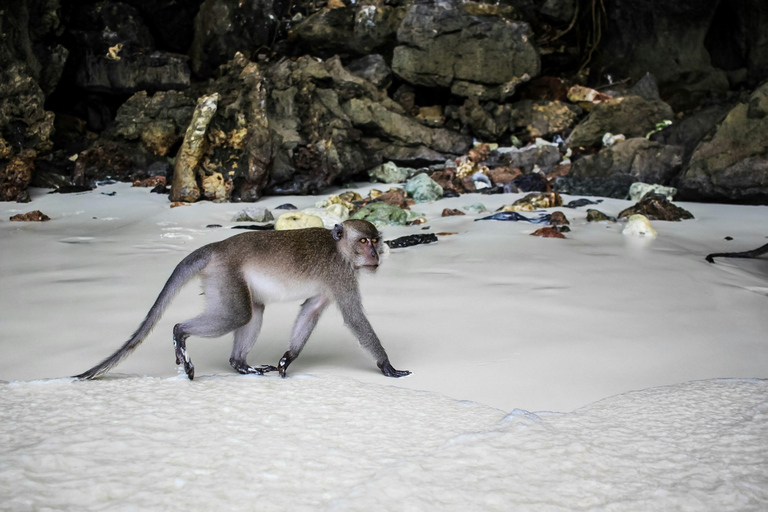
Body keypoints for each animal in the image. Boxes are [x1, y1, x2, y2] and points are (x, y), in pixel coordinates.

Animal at [75, 218, 412, 382]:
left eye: (375, 240)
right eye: (364, 241)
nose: (375, 254)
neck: (340, 250)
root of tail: (217, 246)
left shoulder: (331, 284)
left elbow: (311, 310)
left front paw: (288, 357)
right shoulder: (341, 274)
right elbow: (354, 318)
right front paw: (386, 365)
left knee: (253, 311)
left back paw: (240, 365)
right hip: (225, 274)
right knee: (238, 315)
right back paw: (180, 334)